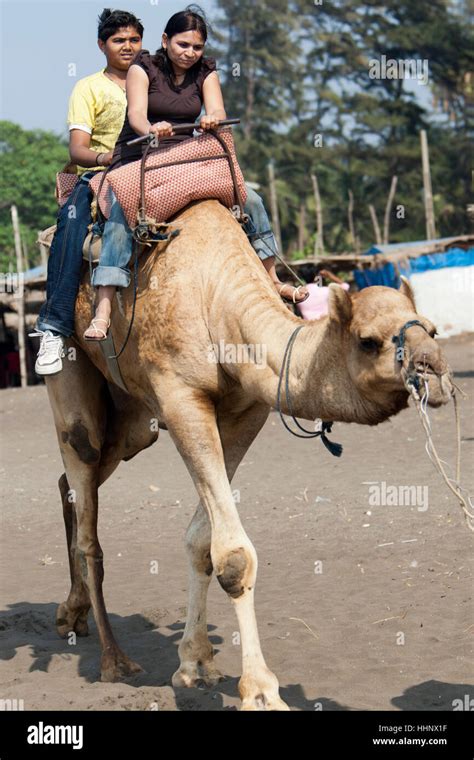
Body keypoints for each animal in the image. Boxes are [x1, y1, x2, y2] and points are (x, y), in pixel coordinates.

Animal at [43, 197, 452, 712]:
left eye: (433, 330)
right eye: (368, 341)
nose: (435, 371)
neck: (217, 299)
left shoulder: (247, 411)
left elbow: (202, 541)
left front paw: (196, 665)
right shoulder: (180, 398)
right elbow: (235, 556)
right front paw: (260, 690)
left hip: (133, 423)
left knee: (74, 483)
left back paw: (70, 614)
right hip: (73, 377)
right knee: (84, 483)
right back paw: (114, 660)